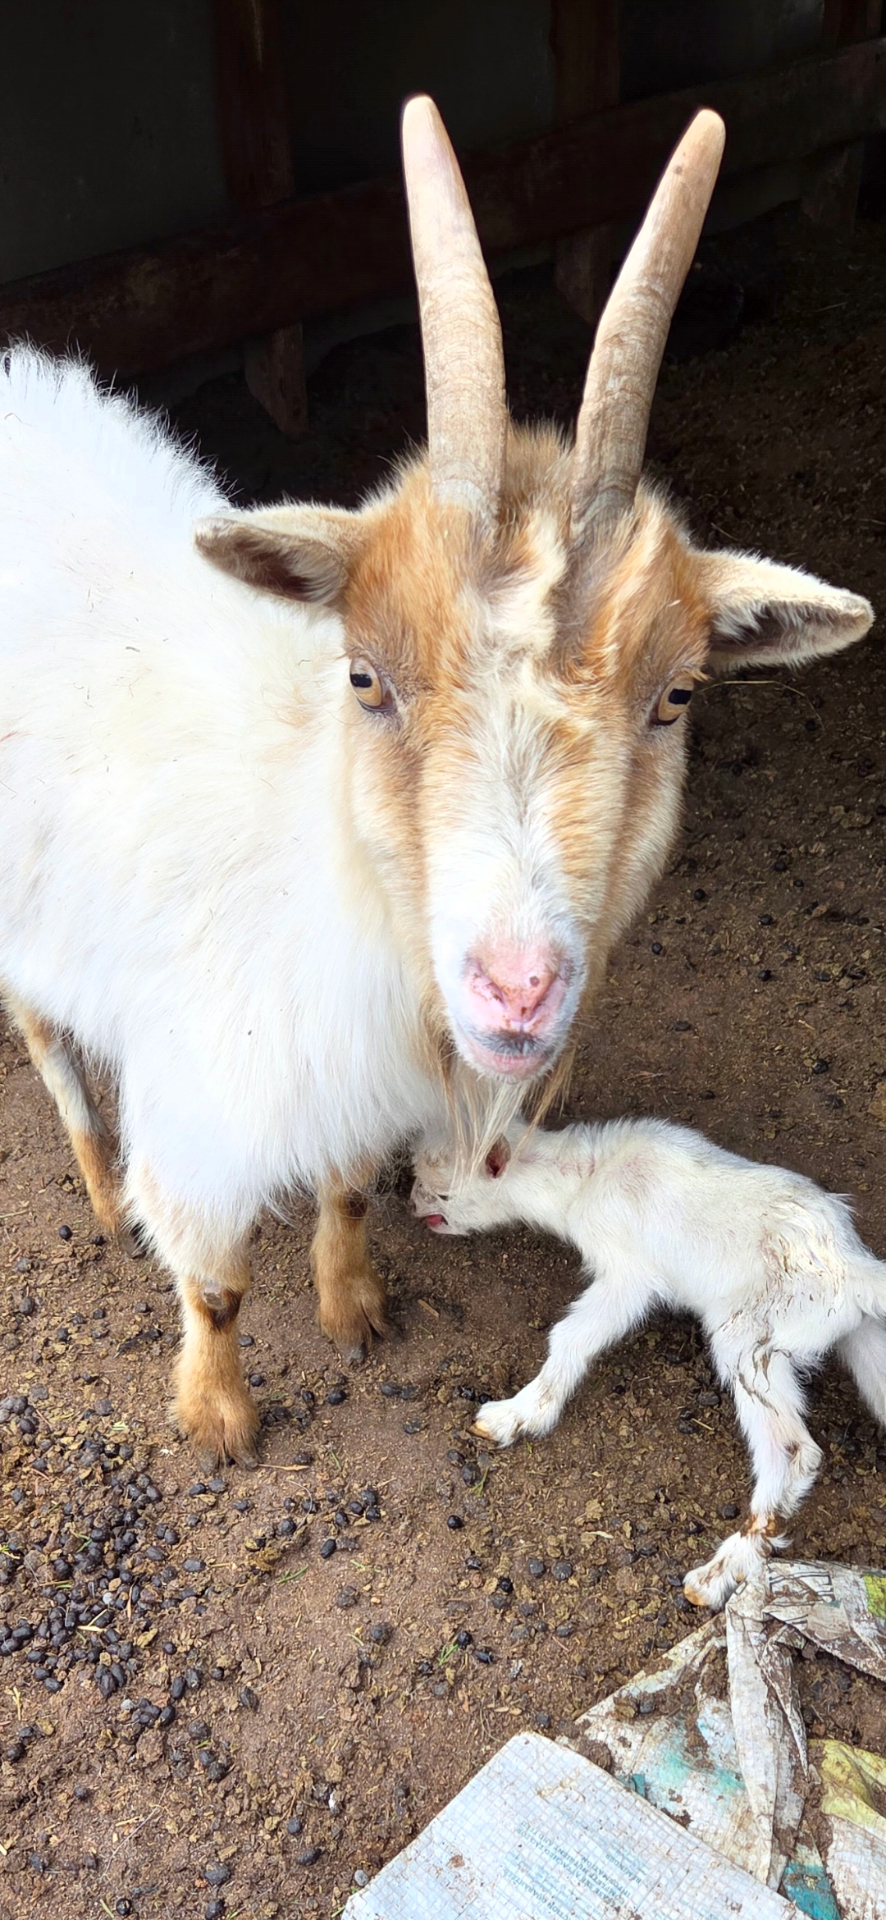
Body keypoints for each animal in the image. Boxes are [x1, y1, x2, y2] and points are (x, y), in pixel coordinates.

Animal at [0, 99, 872, 1467]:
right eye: (364, 676)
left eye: (676, 696)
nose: (515, 990)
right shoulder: (204, 1112)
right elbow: (215, 1283)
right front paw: (223, 1418)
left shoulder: (366, 1092)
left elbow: (351, 1193)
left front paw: (352, 1306)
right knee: (43, 1029)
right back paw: (93, 1189)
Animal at [411, 1118, 886, 1607]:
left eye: (443, 1193)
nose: (411, 1204)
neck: (586, 1174)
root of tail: (853, 1271)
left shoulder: (628, 1273)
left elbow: (572, 1336)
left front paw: (518, 1414)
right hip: (858, 1337)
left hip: (749, 1335)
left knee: (793, 1451)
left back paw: (716, 1575)